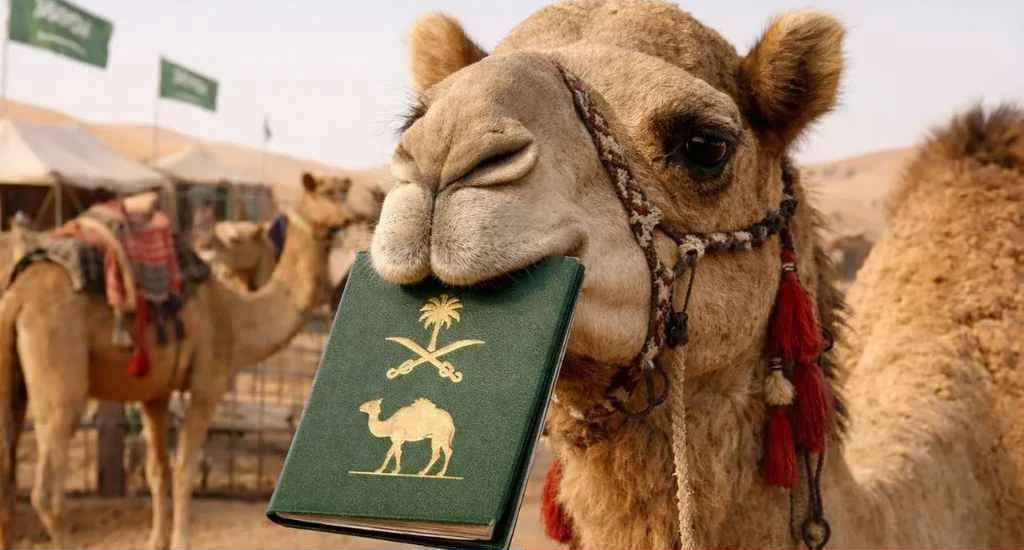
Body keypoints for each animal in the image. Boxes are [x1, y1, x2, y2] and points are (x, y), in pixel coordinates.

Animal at [0, 172, 352, 549]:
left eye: (343, 190)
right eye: (328, 192)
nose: (350, 215)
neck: (235, 315)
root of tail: (17, 299)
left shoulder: (155, 393)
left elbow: (158, 471)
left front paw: (157, 541)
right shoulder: (207, 385)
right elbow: (185, 469)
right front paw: (181, 540)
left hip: (15, 382)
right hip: (60, 376)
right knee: (46, 492)